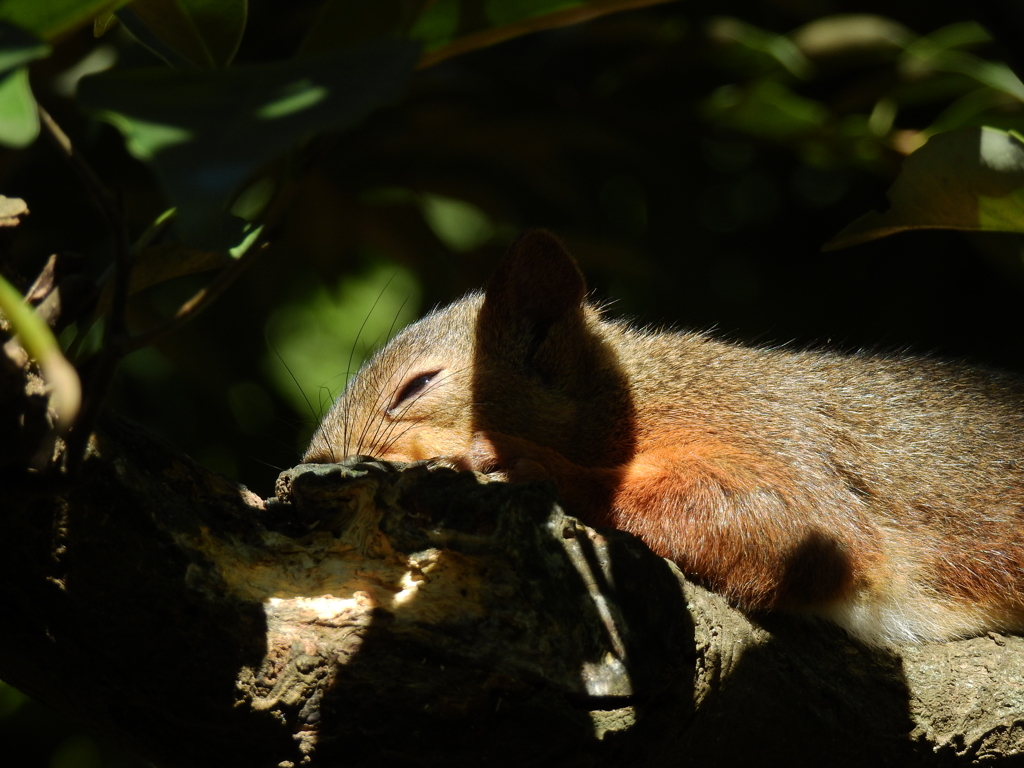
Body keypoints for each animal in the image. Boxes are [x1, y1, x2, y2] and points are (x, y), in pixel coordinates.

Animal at [303, 231, 1024, 647]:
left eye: (415, 386)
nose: (312, 465)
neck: (645, 403)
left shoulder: (768, 429)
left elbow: (791, 523)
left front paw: (533, 467)